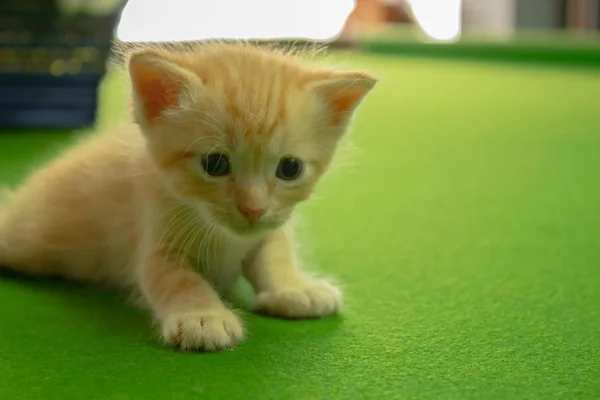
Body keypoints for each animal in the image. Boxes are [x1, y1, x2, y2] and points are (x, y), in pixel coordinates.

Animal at [0, 42, 376, 352]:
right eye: (215, 164)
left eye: (290, 168)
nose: (252, 208)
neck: (224, 237)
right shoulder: (153, 236)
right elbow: (178, 279)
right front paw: (202, 316)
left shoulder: (271, 226)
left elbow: (275, 254)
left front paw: (293, 289)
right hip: (28, 238)